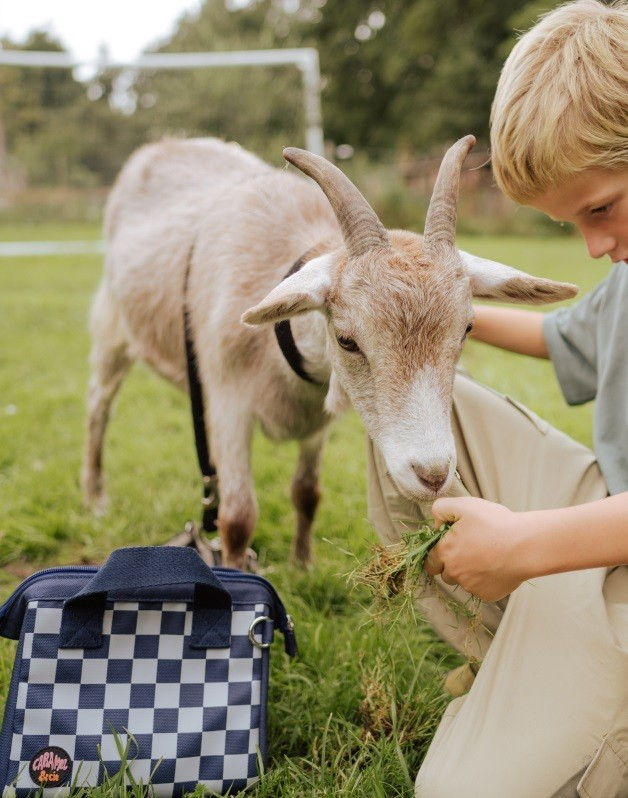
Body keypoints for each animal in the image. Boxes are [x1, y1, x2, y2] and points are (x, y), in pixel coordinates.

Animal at [84, 138, 580, 568]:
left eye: (467, 329)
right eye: (347, 340)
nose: (433, 474)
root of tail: (164, 145)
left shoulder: (315, 422)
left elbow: (307, 493)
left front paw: (303, 565)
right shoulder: (228, 405)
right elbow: (238, 516)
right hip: (111, 328)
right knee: (99, 408)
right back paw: (95, 499)